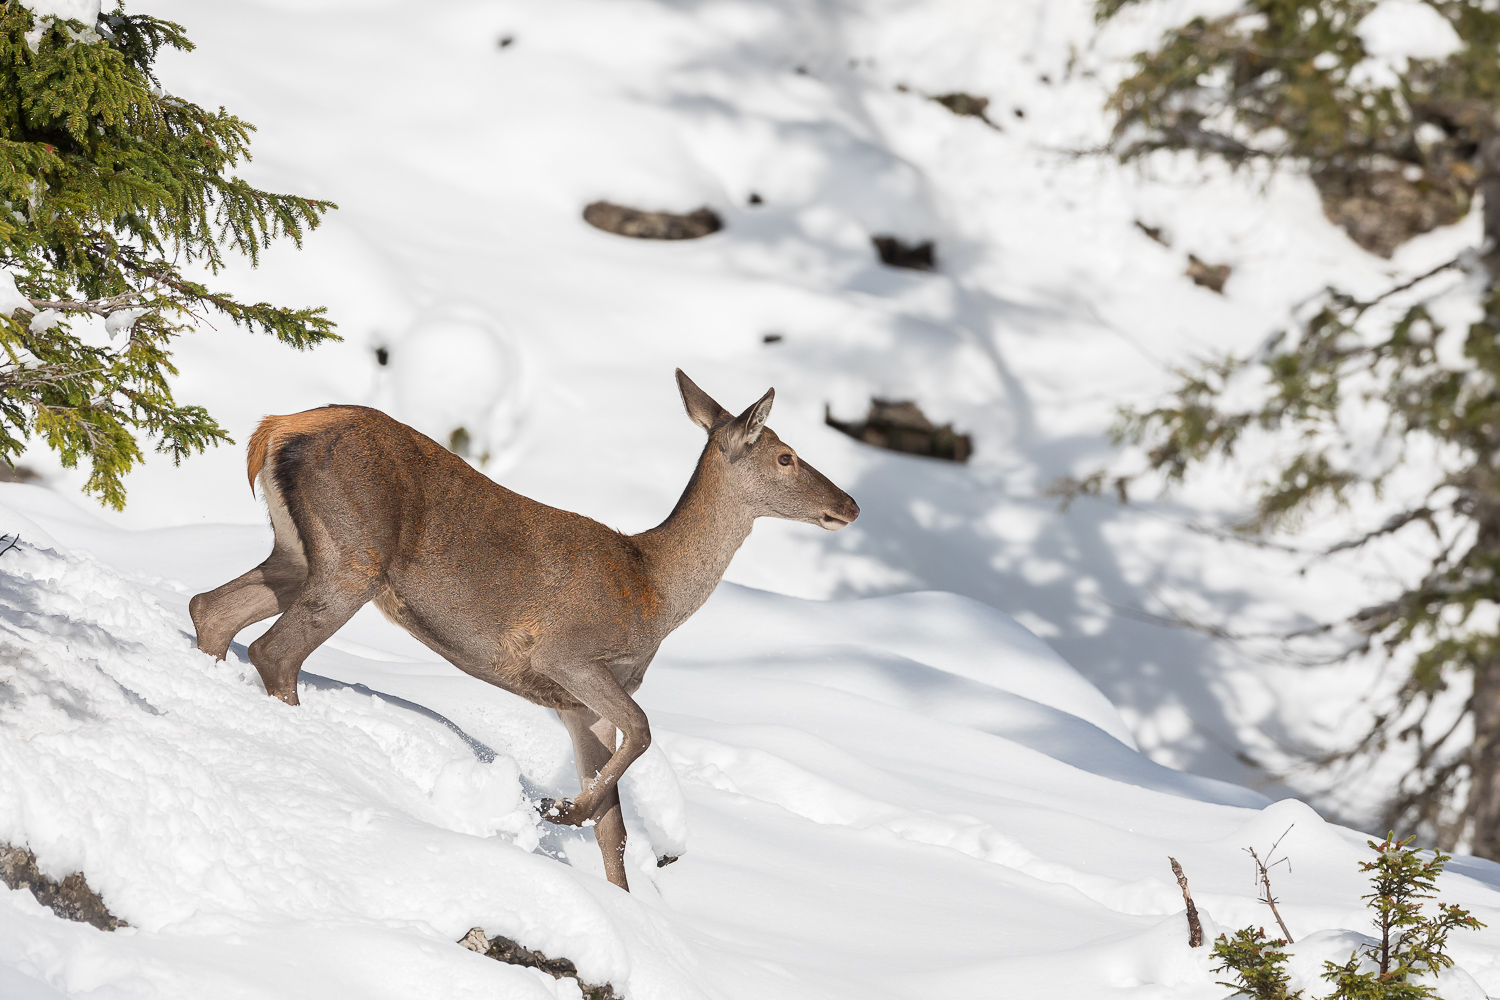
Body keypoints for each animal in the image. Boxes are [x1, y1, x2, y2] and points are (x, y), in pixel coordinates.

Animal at [190, 373, 858, 893]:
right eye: (786, 456)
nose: (849, 504)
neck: (653, 591)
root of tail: (275, 429)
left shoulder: (580, 709)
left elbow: (614, 825)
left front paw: (621, 898)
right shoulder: (569, 655)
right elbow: (643, 732)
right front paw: (556, 808)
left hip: (298, 553)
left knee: (211, 609)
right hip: (355, 553)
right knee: (275, 650)